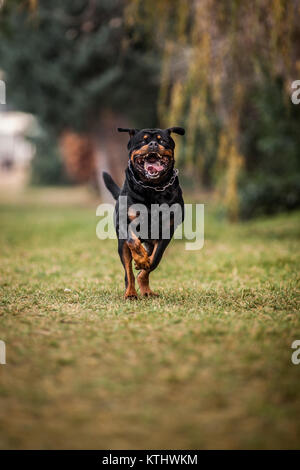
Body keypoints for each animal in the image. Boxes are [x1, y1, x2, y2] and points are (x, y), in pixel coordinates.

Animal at [103, 126, 185, 300]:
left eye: (163, 140)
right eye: (142, 140)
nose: (153, 144)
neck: (151, 188)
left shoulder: (166, 230)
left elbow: (154, 261)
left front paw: (144, 266)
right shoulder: (125, 223)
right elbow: (133, 241)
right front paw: (140, 259)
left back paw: (146, 290)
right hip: (121, 246)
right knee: (128, 271)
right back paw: (130, 293)